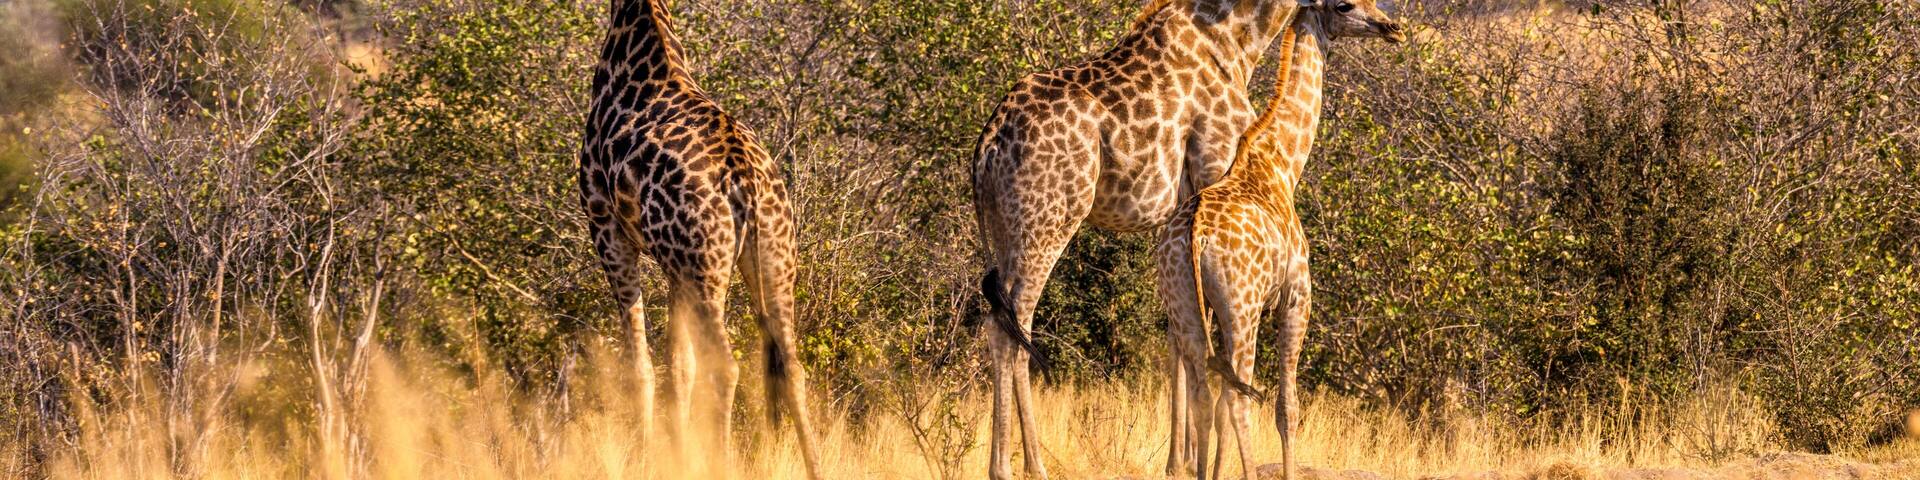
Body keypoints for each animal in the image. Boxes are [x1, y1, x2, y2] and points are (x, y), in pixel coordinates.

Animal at [576, 0, 822, 477]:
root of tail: (745, 180)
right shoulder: (675, 265)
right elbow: (679, 366)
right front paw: (678, 456)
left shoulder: (607, 228)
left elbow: (641, 367)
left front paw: (650, 458)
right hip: (773, 260)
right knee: (793, 367)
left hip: (707, 268)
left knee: (725, 366)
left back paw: (723, 463)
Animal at [970, 1, 1316, 477]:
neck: (1234, 40)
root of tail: (986, 148)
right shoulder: (1215, 169)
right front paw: (1196, 460)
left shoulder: (1181, 209)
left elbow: (1179, 335)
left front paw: (1180, 460)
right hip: (1048, 218)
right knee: (1016, 322)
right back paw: (1025, 467)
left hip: (1005, 227)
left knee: (996, 320)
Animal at [1153, 2, 1402, 479]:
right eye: (1345, 5)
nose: (1391, 27)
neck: (1283, 163)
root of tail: (1195, 235)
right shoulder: (1295, 299)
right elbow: (1288, 409)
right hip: (1241, 309)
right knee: (1238, 397)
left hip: (1184, 306)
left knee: (1204, 396)